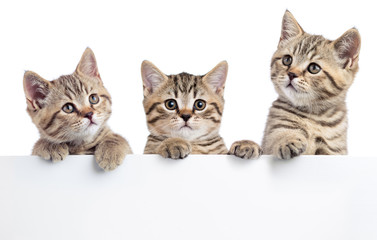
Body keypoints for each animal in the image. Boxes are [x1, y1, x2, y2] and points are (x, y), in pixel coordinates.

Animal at [260, 10, 360, 159]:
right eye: (287, 60)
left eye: (314, 68)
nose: (292, 74)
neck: (314, 116)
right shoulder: (273, 132)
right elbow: (279, 135)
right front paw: (288, 140)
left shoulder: (334, 149)